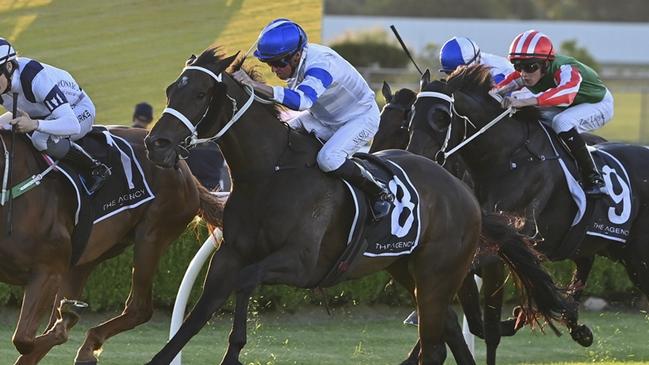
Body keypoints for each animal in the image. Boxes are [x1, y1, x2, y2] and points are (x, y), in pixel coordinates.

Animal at [0, 126, 223, 364]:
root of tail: (186, 171)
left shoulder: (47, 271)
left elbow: (24, 339)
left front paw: (64, 325)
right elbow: (28, 339)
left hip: (152, 236)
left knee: (139, 308)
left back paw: (85, 342)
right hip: (86, 258)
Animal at [142, 49, 568, 364]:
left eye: (200, 95)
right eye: (170, 90)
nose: (156, 144)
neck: (270, 173)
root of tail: (467, 196)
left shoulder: (301, 264)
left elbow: (245, 282)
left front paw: (234, 350)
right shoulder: (231, 253)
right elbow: (197, 314)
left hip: (438, 271)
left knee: (434, 345)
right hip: (406, 269)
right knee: (449, 334)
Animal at [408, 65, 648, 364]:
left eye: (441, 116)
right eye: (412, 113)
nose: (414, 158)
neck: (506, 158)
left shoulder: (510, 239)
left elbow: (486, 318)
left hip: (639, 260)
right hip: (597, 246)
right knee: (584, 264)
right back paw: (574, 322)